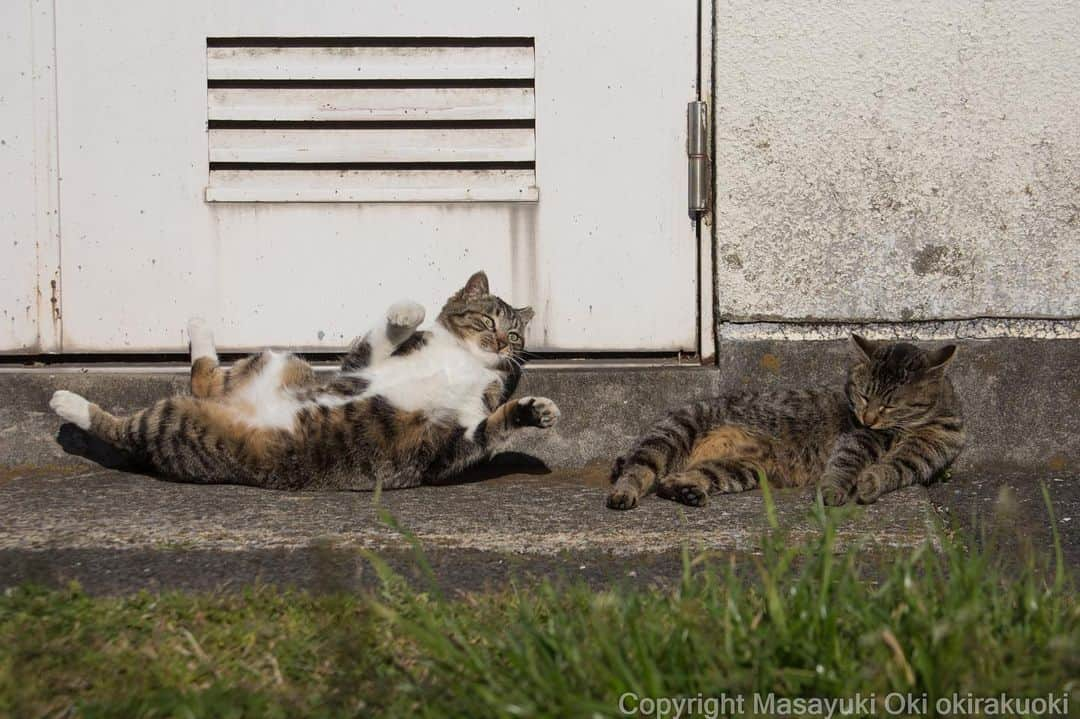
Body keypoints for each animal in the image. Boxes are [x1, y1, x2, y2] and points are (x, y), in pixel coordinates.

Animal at [48, 272, 557, 490]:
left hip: (195, 411)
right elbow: (383, 335)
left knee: (187, 392)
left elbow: (492, 427)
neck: (462, 360)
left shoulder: (450, 443)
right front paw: (406, 312)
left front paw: (536, 410)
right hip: (268, 368)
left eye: (514, 334)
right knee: (152, 411)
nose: (501, 344)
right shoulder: (363, 366)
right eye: (486, 320)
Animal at [604, 334, 967, 507]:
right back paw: (624, 494)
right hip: (674, 433)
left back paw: (687, 491)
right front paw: (833, 490)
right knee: (638, 468)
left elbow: (890, 471)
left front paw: (870, 484)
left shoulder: (919, 460)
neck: (923, 424)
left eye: (889, 404)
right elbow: (845, 464)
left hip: (742, 470)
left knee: (675, 478)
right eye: (864, 396)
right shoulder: (857, 440)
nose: (867, 417)